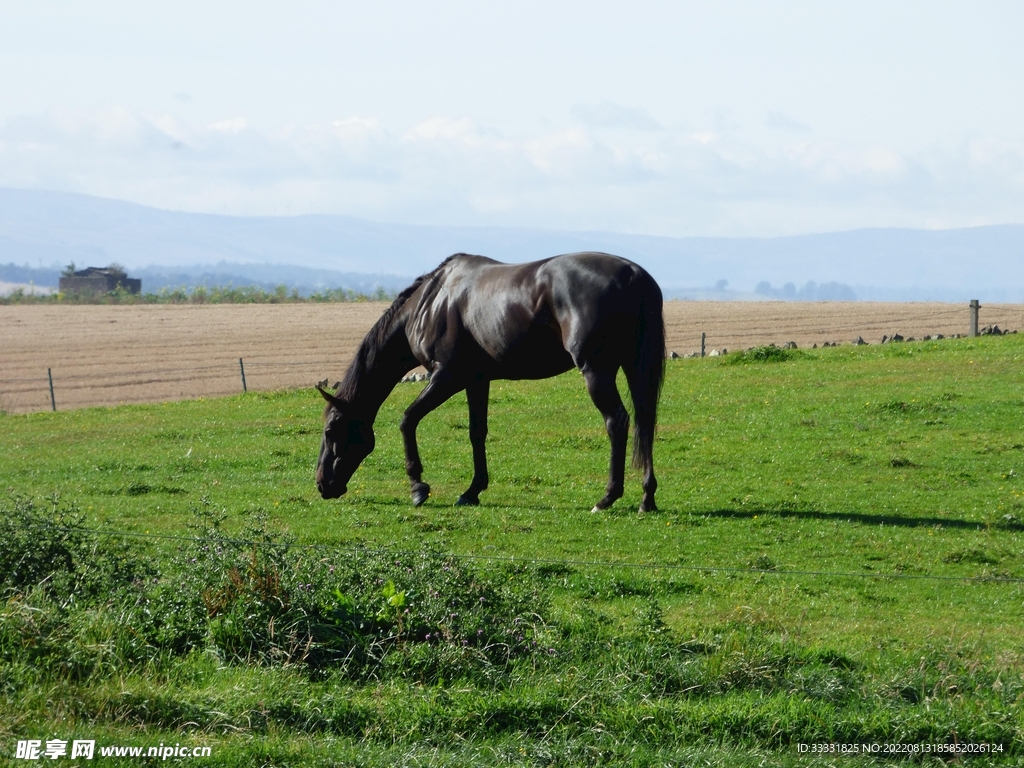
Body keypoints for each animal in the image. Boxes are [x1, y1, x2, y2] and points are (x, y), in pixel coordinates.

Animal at [315, 251, 665, 513]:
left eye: (331, 430)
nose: (322, 484)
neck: (430, 302)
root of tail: (634, 274)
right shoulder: (477, 380)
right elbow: (477, 433)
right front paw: (472, 491)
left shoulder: (446, 376)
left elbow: (407, 420)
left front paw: (418, 487)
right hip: (633, 367)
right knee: (644, 423)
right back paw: (646, 498)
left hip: (596, 370)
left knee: (617, 422)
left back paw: (607, 498)